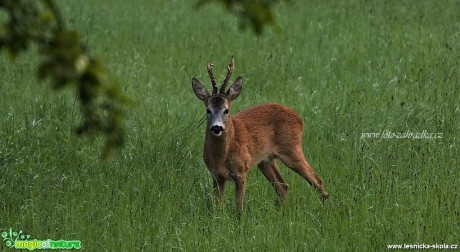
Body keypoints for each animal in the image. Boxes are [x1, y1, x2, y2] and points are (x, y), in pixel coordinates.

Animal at [192, 55, 328, 215]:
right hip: (266, 160)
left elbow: (239, 208)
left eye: (226, 110)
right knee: (283, 186)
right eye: (208, 110)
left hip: (292, 149)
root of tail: (299, 118)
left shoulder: (241, 170)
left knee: (317, 180)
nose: (217, 128)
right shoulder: (216, 176)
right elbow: (216, 207)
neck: (221, 157)